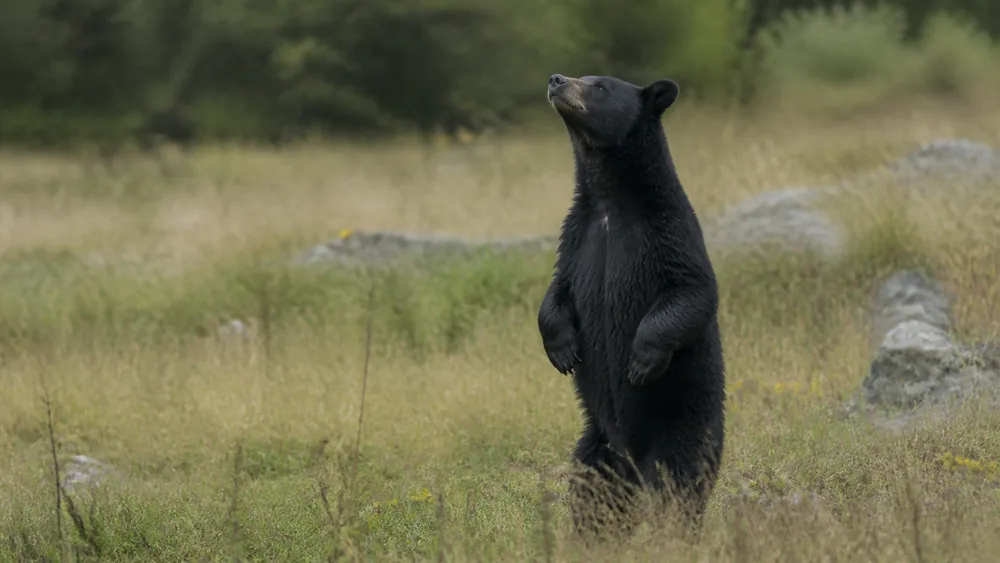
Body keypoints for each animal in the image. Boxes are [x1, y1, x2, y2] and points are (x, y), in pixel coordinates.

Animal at [537, 73, 726, 540]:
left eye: (599, 85)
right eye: (580, 76)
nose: (556, 80)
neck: (611, 203)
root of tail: (633, 458)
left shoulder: (668, 233)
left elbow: (692, 291)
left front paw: (640, 360)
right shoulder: (578, 237)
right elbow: (557, 290)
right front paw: (563, 351)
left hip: (683, 430)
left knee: (678, 490)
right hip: (596, 447)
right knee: (593, 497)